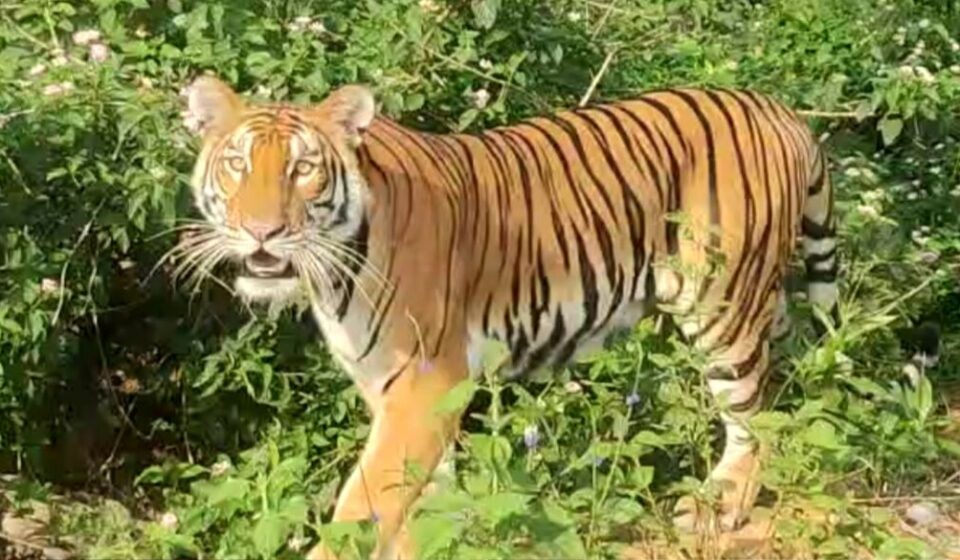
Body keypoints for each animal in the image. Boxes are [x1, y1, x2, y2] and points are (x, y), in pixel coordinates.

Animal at [177, 74, 844, 560]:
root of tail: (779, 109)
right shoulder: (391, 386)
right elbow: (420, 497)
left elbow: (365, 503)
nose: (261, 232)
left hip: (722, 301)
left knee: (753, 412)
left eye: (302, 169)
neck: (332, 274)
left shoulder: (425, 381)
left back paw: (722, 503)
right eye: (237, 166)